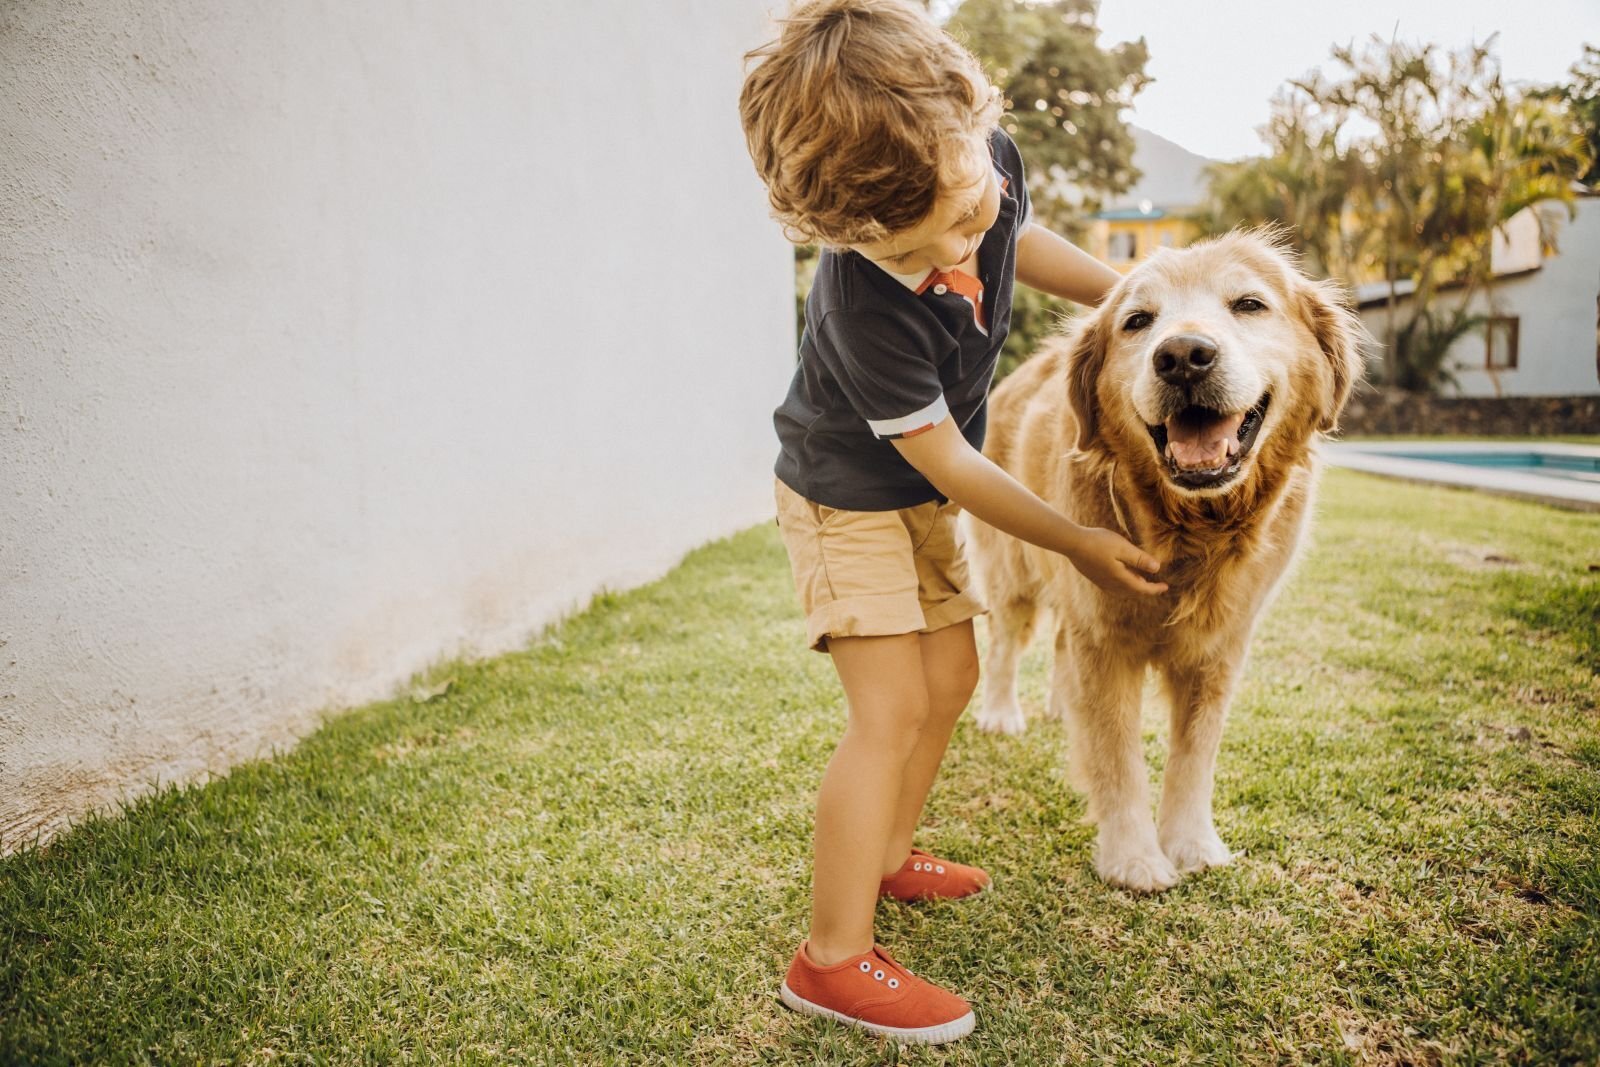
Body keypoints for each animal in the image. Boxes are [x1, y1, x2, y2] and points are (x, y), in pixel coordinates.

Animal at [960, 231, 1363, 895]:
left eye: (1249, 304)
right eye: (1137, 321)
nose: (1182, 356)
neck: (1191, 530)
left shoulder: (1219, 649)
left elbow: (1193, 755)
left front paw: (1192, 845)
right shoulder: (1104, 636)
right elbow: (1117, 758)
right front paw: (1134, 860)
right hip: (1013, 567)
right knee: (1005, 643)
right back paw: (1001, 712)